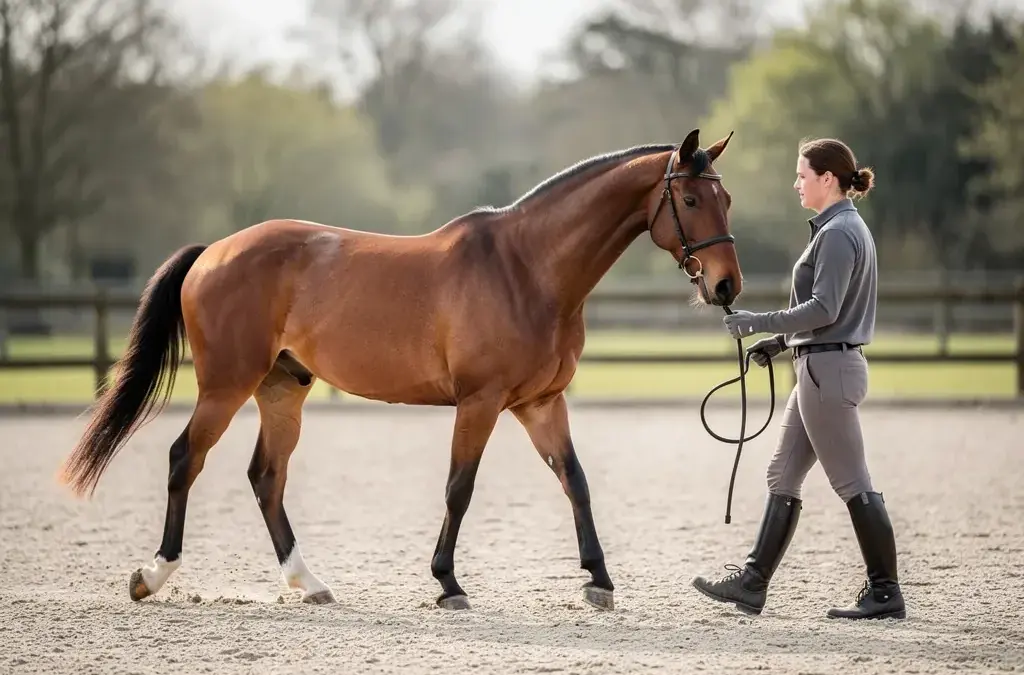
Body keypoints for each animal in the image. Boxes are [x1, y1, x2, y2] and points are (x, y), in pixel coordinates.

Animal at [58, 128, 742, 612]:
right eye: (688, 199)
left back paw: (308, 582)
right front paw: (447, 583)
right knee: (185, 460)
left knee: (266, 478)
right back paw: (154, 575)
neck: (527, 268)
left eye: (726, 198)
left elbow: (575, 481)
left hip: (282, 390)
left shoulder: (540, 402)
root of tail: (214, 252)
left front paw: (598, 578)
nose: (726, 286)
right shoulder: (481, 402)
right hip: (226, 387)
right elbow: (460, 488)